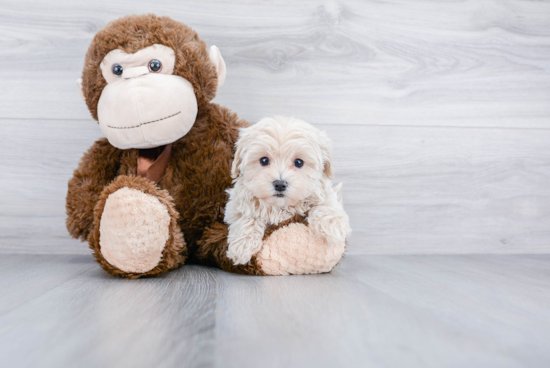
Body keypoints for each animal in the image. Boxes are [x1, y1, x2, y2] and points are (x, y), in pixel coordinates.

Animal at [225, 116, 352, 264]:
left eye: (298, 162)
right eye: (264, 160)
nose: (280, 184)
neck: (281, 206)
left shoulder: (323, 193)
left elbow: (326, 203)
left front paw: (332, 226)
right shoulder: (235, 205)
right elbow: (247, 217)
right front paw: (242, 246)